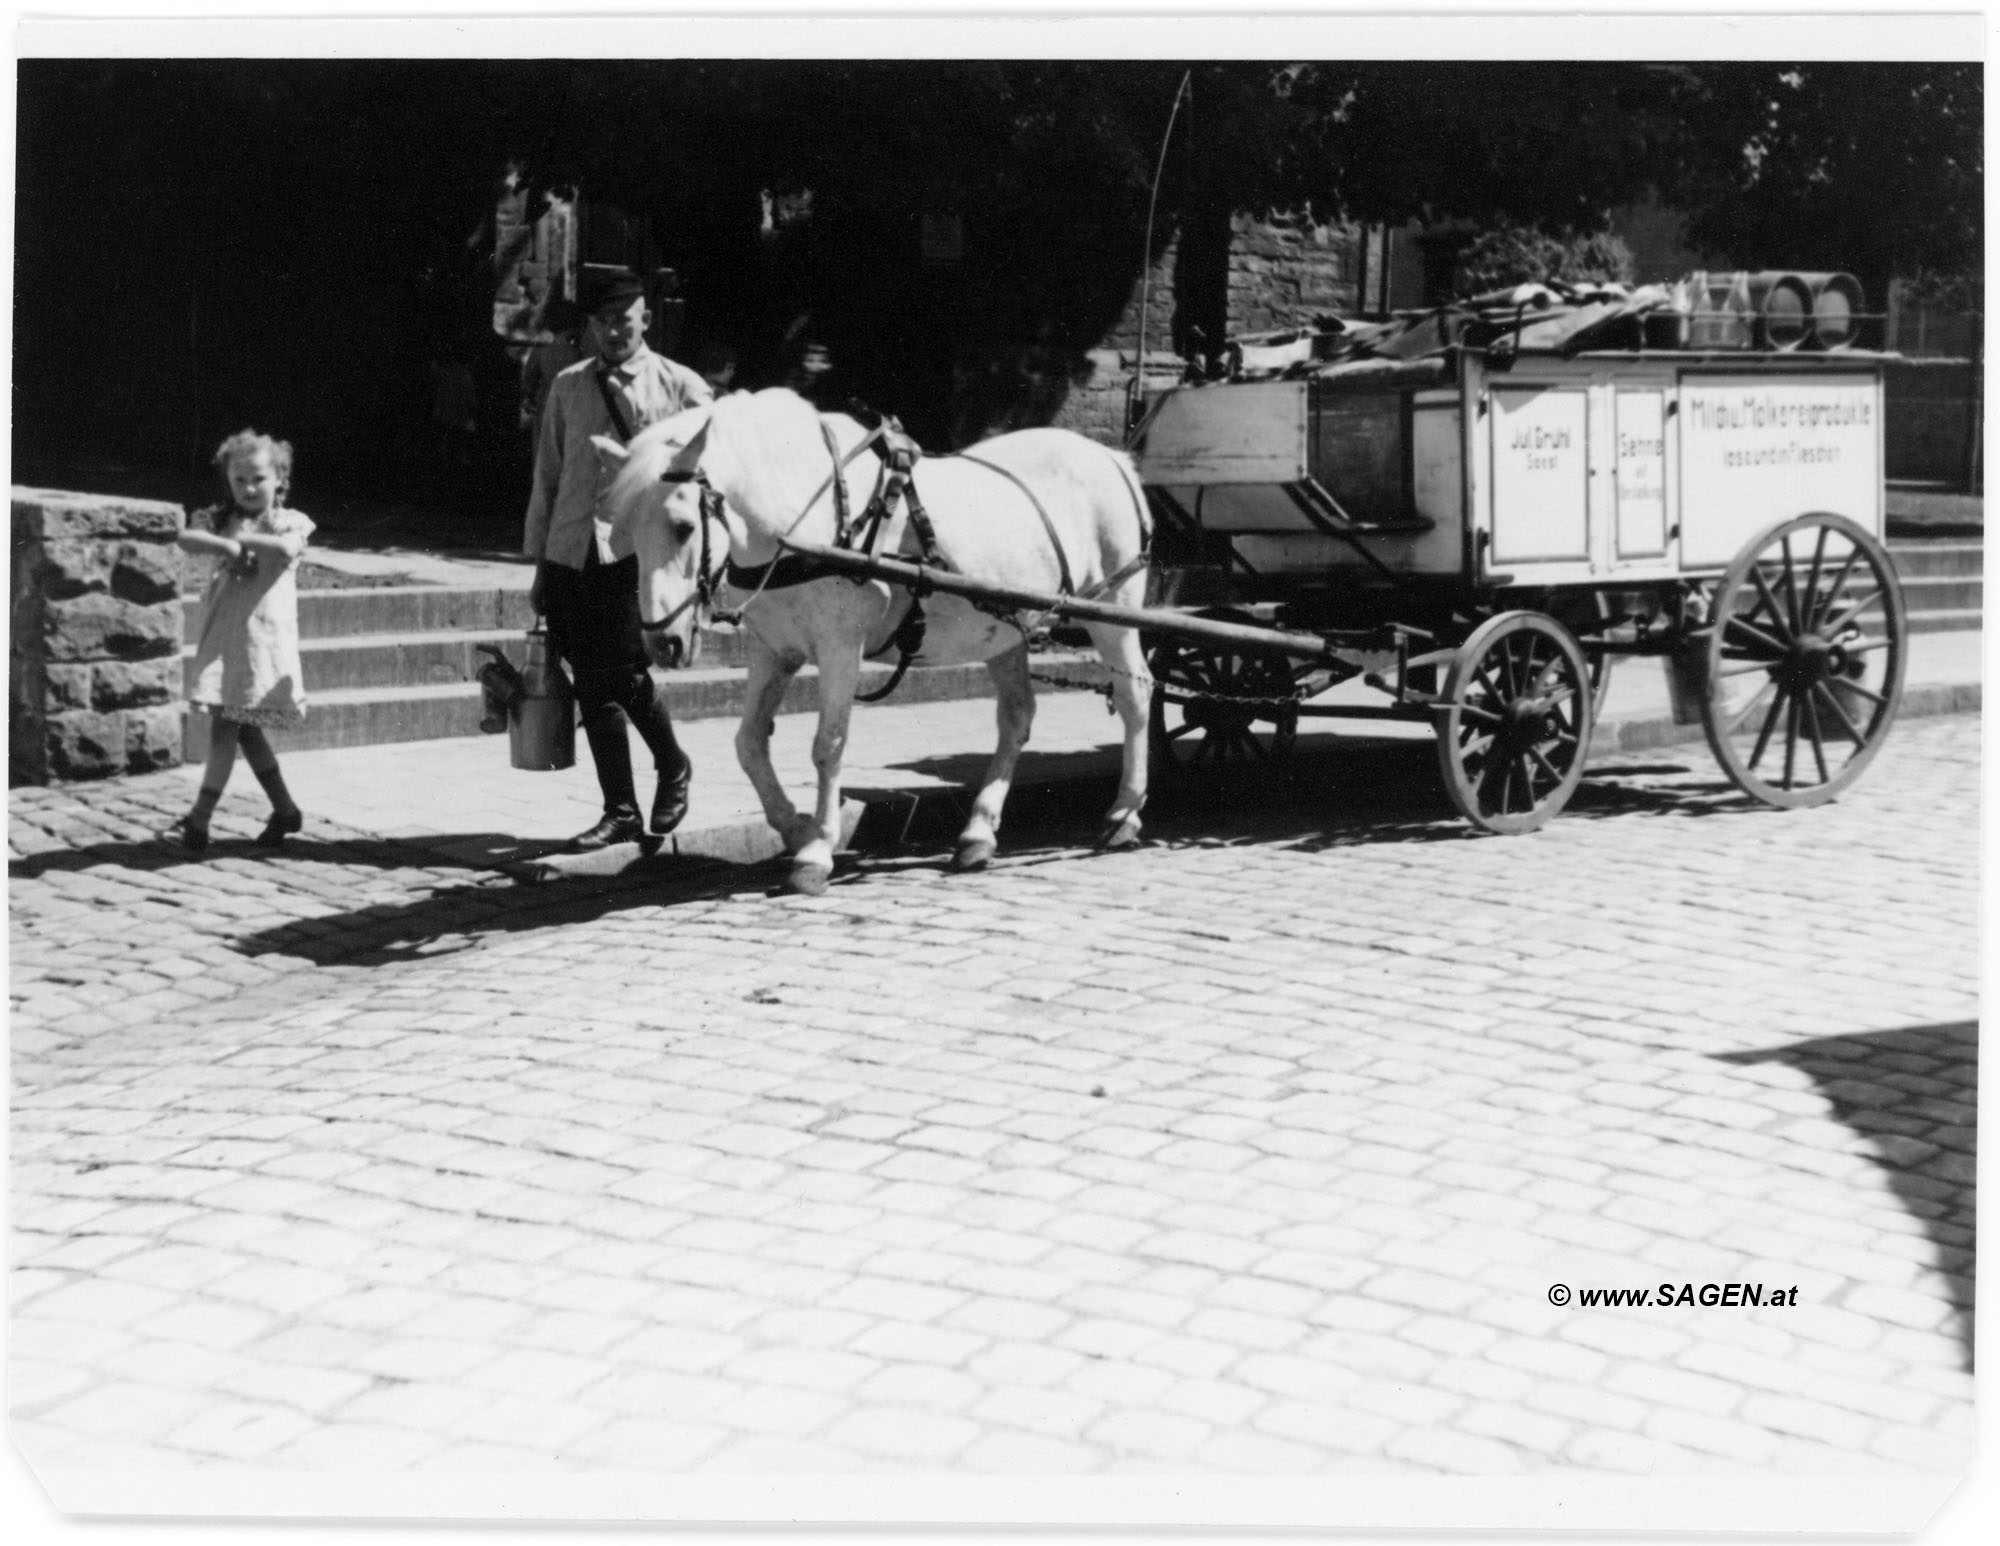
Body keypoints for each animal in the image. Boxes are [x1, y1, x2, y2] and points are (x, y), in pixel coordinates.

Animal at [600, 384, 1152, 892]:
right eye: (625, 533)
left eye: (683, 526)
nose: (662, 644)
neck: (805, 516)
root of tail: (1113, 457)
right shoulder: (773, 649)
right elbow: (749, 743)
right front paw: (795, 827)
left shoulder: (840, 647)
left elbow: (828, 745)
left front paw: (816, 852)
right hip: (1004, 627)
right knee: (1017, 717)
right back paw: (978, 833)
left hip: (1114, 609)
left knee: (1135, 696)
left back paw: (1124, 813)